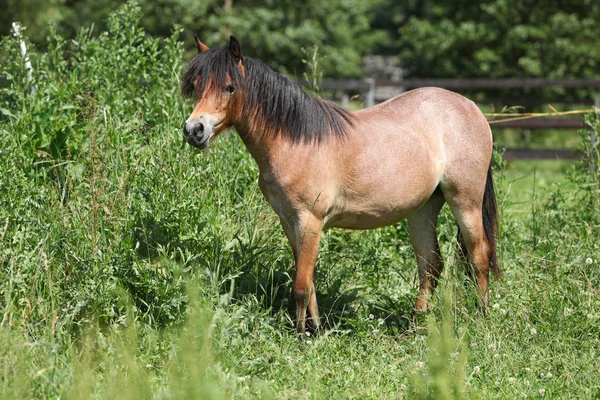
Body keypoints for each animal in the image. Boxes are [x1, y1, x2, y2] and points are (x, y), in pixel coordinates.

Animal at [180, 36, 500, 332]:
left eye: (229, 87)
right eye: (196, 85)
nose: (194, 130)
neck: (296, 143)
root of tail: (471, 107)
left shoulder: (310, 220)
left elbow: (300, 285)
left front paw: (301, 336)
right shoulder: (290, 221)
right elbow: (308, 280)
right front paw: (317, 330)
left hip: (465, 202)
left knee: (479, 257)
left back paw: (482, 319)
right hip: (423, 209)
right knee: (430, 266)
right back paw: (414, 326)